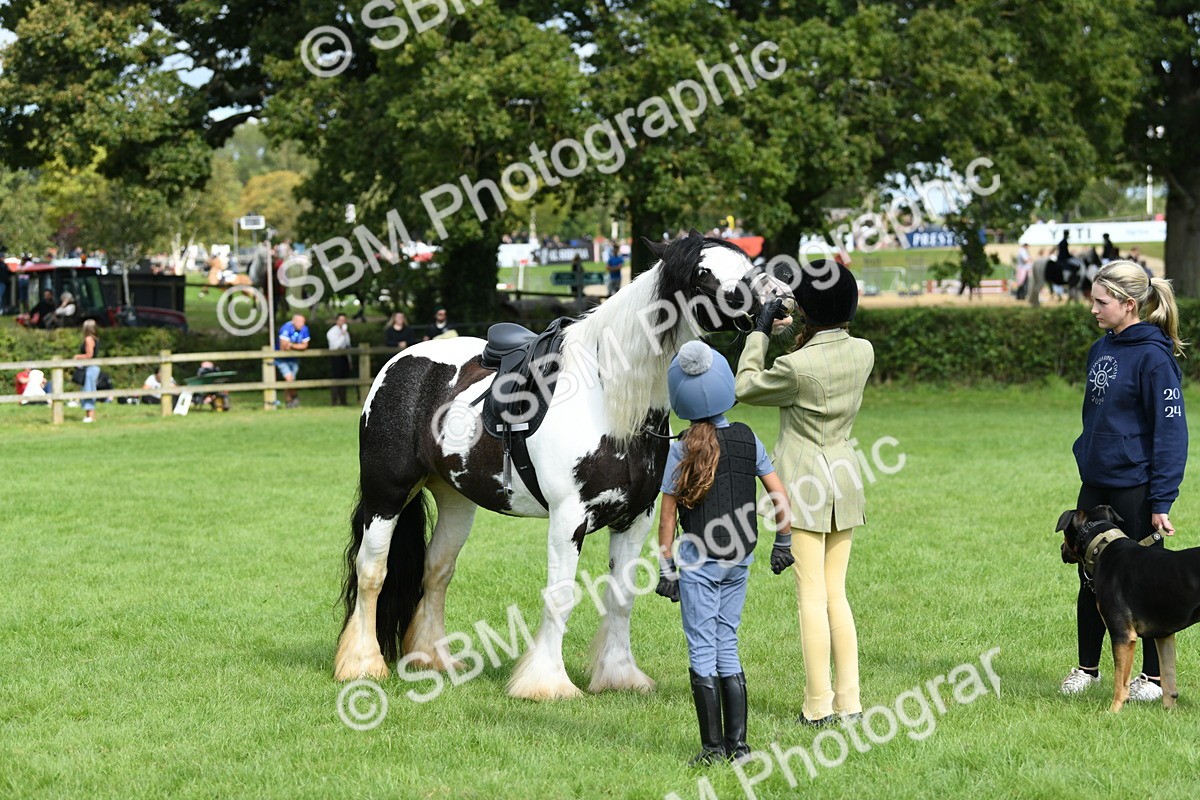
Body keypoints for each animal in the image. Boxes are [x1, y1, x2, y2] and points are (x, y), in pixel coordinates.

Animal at [335, 234, 795, 700]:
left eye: (747, 262)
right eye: (703, 272)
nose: (782, 301)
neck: (607, 397)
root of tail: (399, 363)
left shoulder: (637, 519)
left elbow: (622, 597)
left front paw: (620, 675)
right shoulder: (568, 518)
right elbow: (559, 596)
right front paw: (547, 683)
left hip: (455, 500)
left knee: (436, 572)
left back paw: (432, 660)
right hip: (387, 494)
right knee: (372, 571)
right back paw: (362, 664)